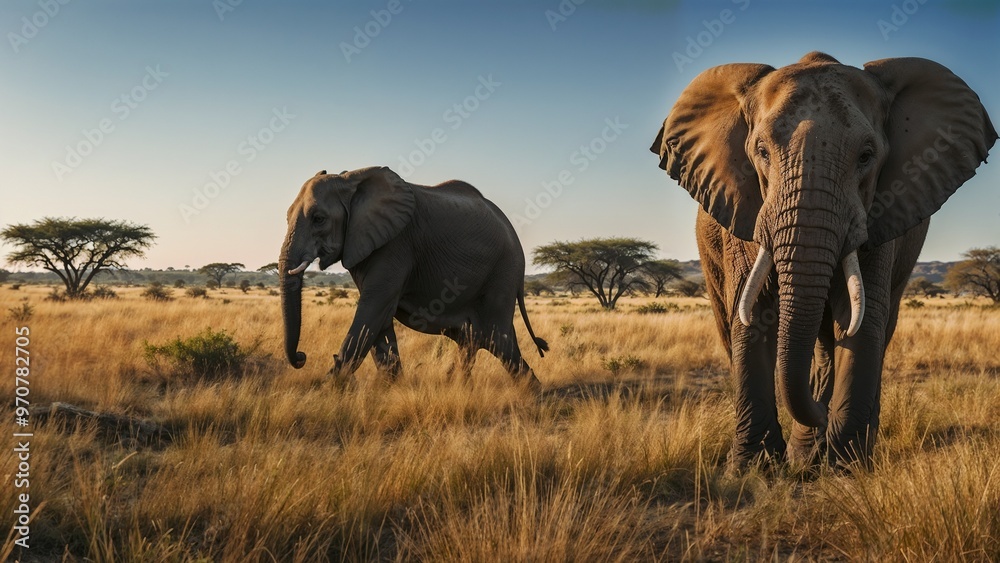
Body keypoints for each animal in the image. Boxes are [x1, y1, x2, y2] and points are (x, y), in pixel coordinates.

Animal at [279, 166, 549, 387]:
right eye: (287, 217)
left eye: (319, 219)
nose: (301, 357)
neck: (352, 181)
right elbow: (379, 321)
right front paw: (392, 387)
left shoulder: (395, 245)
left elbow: (373, 310)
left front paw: (326, 389)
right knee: (475, 340)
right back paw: (460, 386)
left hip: (502, 272)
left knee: (496, 338)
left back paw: (533, 393)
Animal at [650, 52, 996, 469]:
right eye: (761, 152)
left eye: (866, 156)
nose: (817, 411)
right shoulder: (744, 209)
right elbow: (754, 313)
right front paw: (753, 469)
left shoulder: (880, 210)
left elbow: (861, 318)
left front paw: (847, 468)